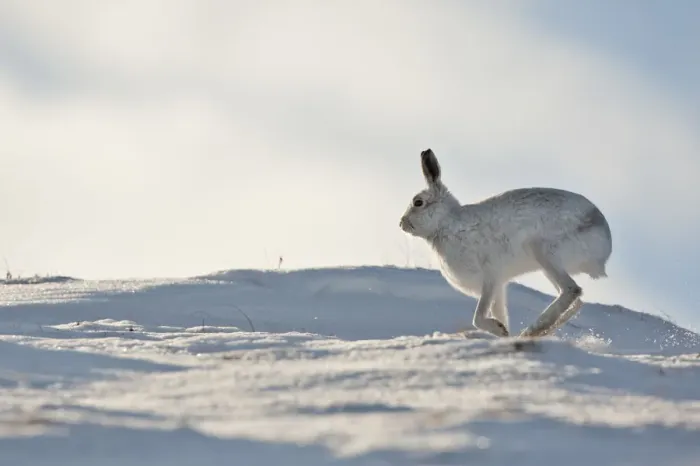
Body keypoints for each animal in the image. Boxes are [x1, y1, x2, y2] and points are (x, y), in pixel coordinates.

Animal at [399, 148, 612, 338]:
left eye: (418, 202)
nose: (401, 224)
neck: (445, 223)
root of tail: (604, 239)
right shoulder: (498, 286)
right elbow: (499, 313)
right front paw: (504, 333)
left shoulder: (491, 276)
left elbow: (478, 317)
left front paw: (499, 330)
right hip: (548, 264)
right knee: (576, 300)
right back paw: (538, 332)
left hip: (544, 252)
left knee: (571, 290)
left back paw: (532, 330)